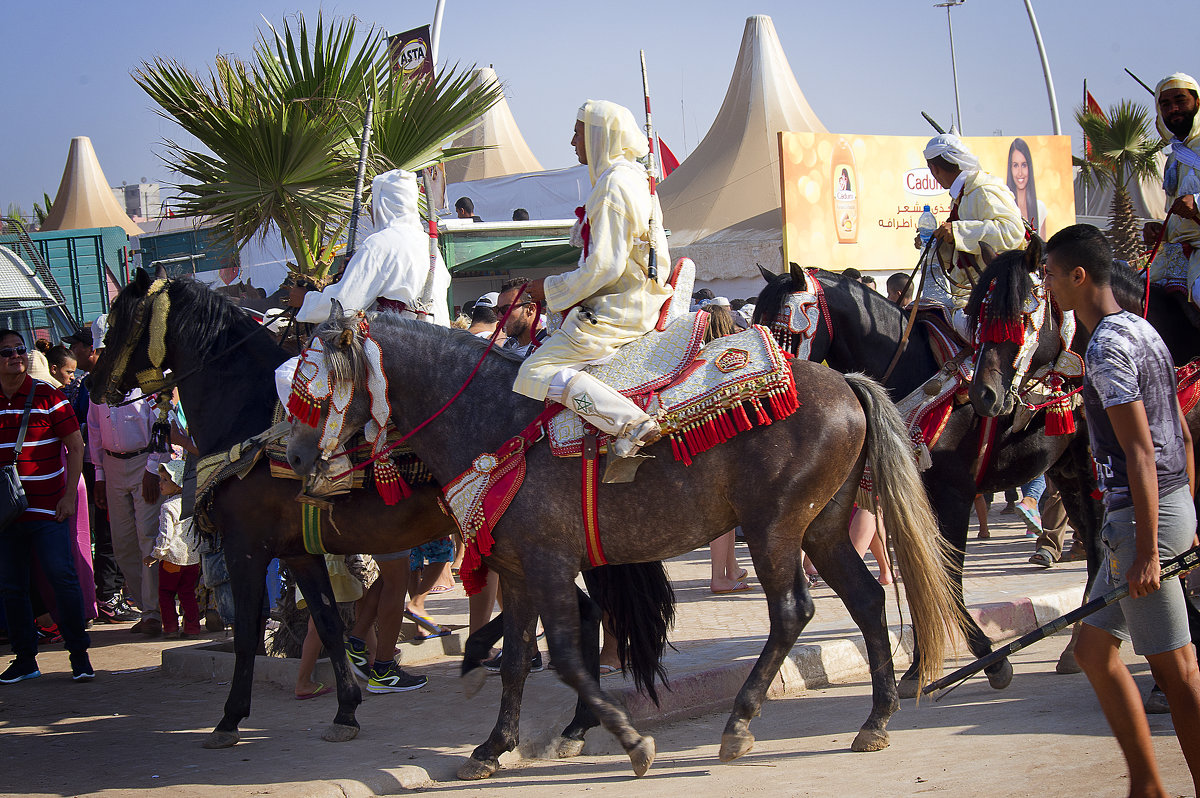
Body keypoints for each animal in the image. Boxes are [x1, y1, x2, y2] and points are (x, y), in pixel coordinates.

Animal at [283, 309, 964, 777]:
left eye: (313, 391)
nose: (291, 460)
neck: (493, 422)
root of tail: (846, 383)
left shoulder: (550, 565)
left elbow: (563, 655)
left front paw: (631, 742)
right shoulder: (521, 569)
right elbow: (517, 661)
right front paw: (493, 745)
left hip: (775, 527)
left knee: (793, 611)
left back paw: (740, 723)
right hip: (821, 528)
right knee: (867, 600)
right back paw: (875, 720)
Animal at [753, 264, 1099, 696]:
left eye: (783, 332)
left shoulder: (954, 495)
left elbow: (946, 574)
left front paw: (989, 660)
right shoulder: (909, 497)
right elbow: (917, 572)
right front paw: (920, 667)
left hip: (1090, 463)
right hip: (1065, 469)